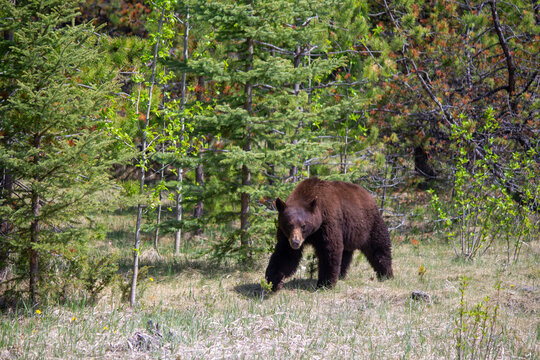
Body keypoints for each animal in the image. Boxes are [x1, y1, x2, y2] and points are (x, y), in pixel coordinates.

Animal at [264, 176, 392, 290]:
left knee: (379, 246)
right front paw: (273, 281)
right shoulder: (285, 236)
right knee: (345, 253)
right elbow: (285, 254)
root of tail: (368, 195)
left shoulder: (327, 223)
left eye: (303, 225)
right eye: (289, 225)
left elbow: (330, 250)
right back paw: (341, 275)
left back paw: (386, 274)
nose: (295, 242)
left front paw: (325, 283)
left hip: (369, 223)